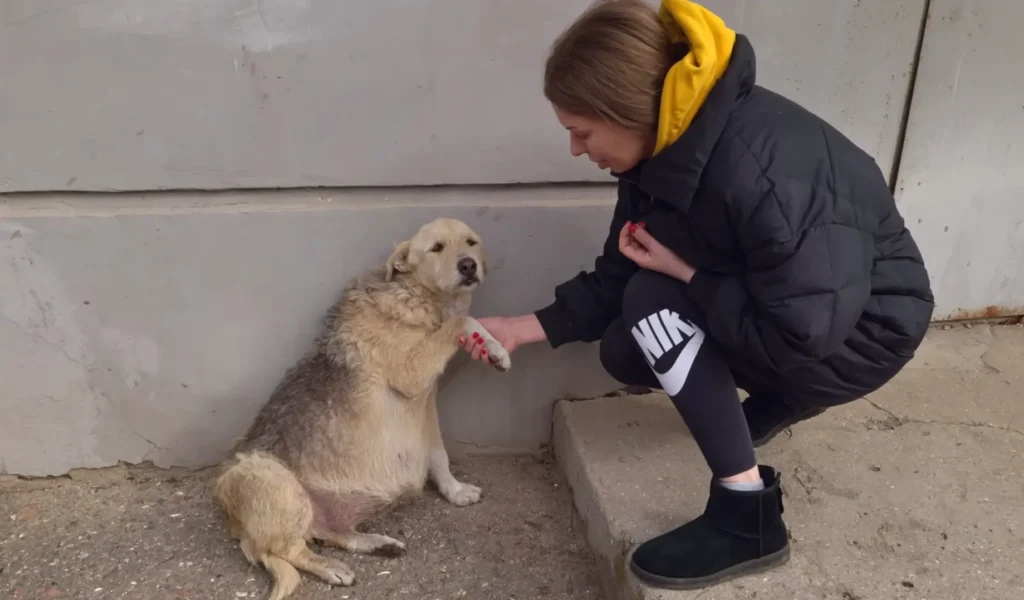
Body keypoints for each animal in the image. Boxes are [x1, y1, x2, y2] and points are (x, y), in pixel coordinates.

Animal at [212, 217, 512, 597]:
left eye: (471, 242)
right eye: (437, 248)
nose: (468, 265)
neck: (415, 295)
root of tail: (235, 524)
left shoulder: (426, 405)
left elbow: (439, 455)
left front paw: (454, 491)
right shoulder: (412, 375)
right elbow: (463, 321)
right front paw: (492, 342)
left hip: (316, 511)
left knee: (324, 533)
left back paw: (375, 543)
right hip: (272, 480)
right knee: (288, 550)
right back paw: (330, 567)